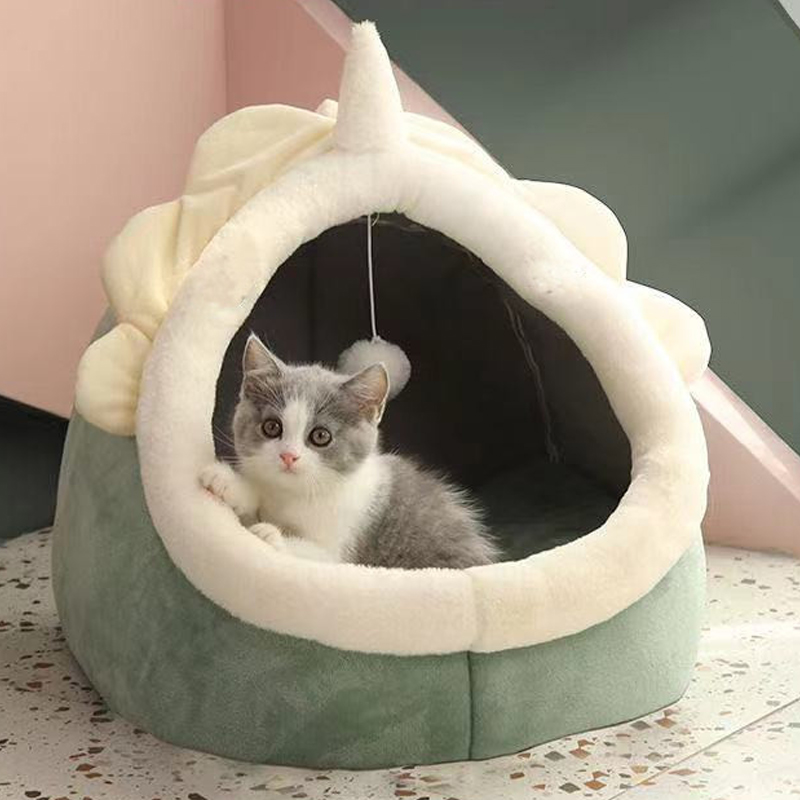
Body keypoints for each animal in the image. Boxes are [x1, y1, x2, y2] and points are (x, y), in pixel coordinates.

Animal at [200, 333, 500, 569]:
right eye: (272, 427)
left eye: (321, 436)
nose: (288, 456)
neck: (297, 494)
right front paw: (228, 483)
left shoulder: (343, 551)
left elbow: (321, 556)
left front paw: (271, 536)